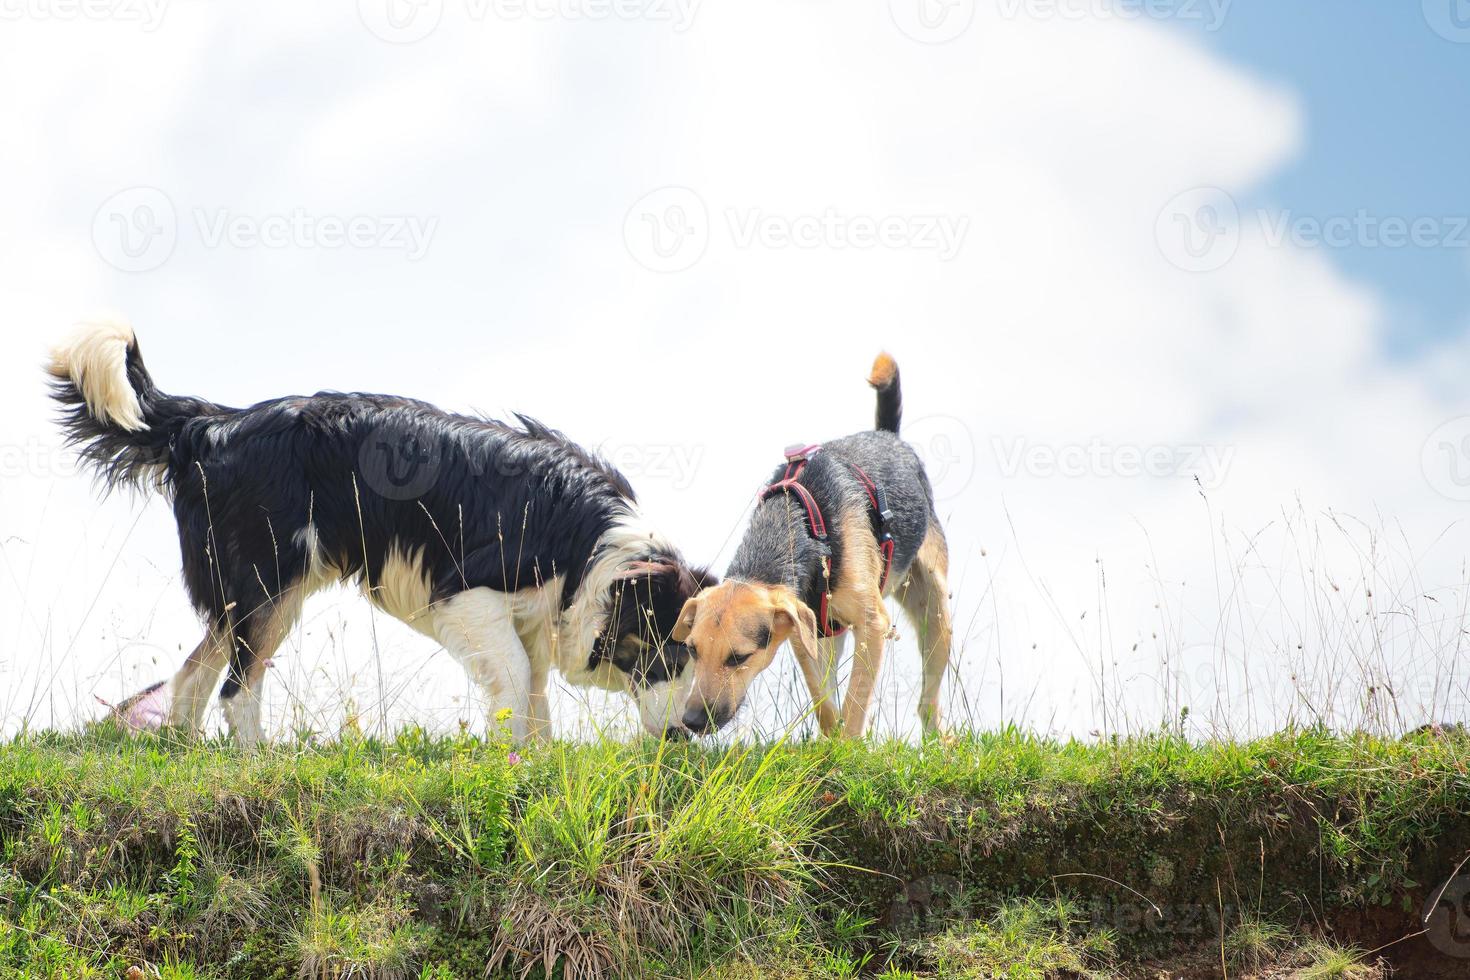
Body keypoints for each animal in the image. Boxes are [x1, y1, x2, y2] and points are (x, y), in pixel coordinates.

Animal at [47, 320, 711, 743]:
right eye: (673, 653)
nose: (688, 733)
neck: (594, 549)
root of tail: (213, 426)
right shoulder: (467, 594)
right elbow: (519, 688)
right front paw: (509, 770)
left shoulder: (532, 620)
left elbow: (535, 700)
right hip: (269, 583)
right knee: (236, 689)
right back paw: (256, 765)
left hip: (251, 592)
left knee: (192, 678)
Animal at [670, 354, 952, 734]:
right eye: (693, 650)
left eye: (739, 657)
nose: (692, 721)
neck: (799, 527)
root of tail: (887, 435)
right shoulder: (804, 634)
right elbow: (824, 703)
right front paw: (830, 738)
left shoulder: (872, 625)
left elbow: (854, 705)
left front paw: (848, 745)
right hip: (832, 632)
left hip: (935, 612)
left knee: (927, 702)